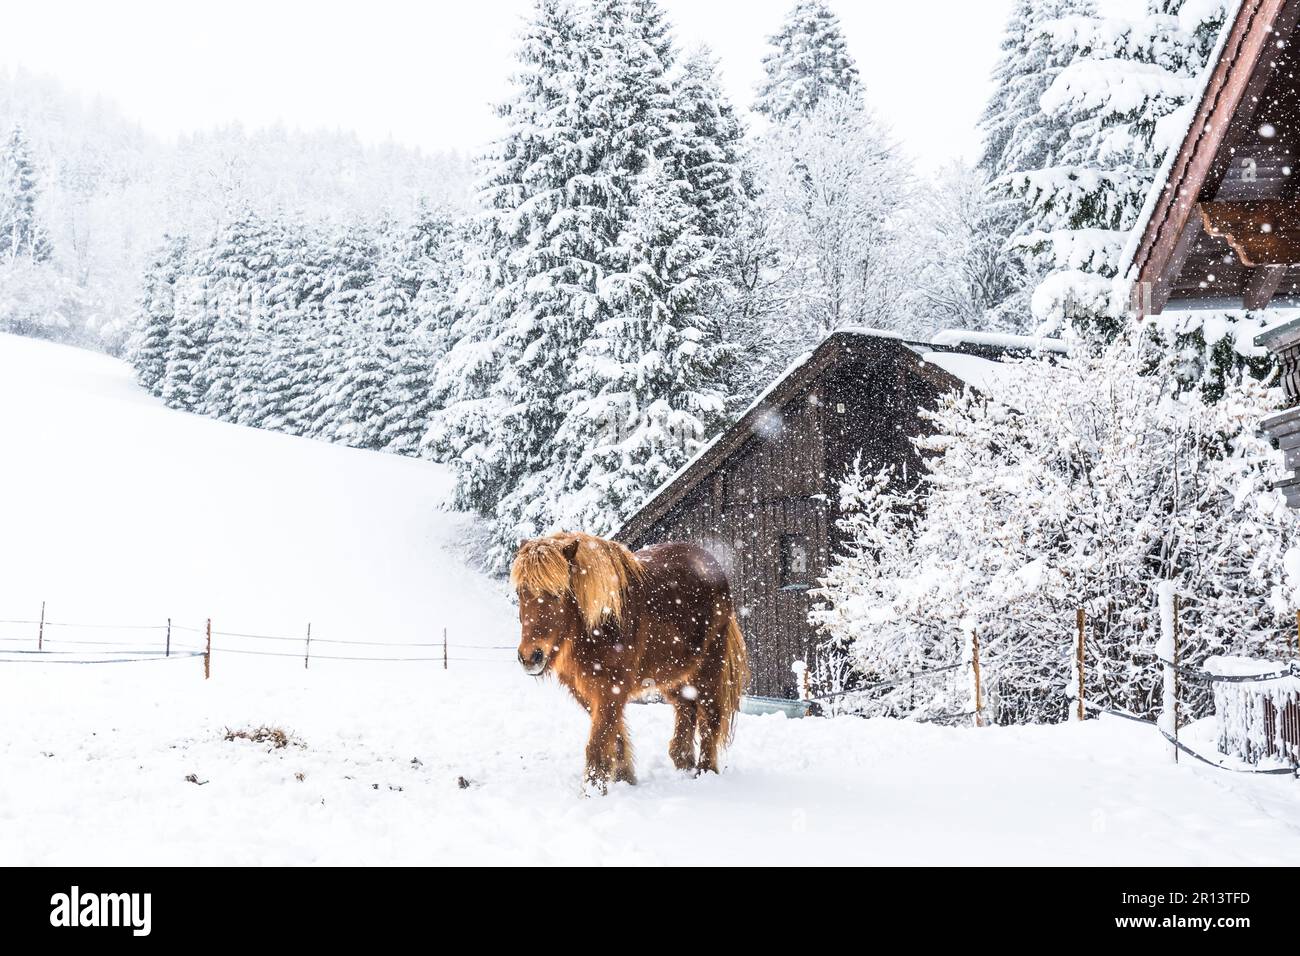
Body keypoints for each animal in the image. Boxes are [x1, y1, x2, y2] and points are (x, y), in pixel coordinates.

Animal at [510, 531, 749, 792]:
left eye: (557, 593)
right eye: (520, 592)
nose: (530, 657)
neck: (600, 623)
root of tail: (712, 563)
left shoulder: (611, 689)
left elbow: (598, 742)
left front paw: (593, 791)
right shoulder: (585, 691)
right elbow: (614, 737)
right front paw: (625, 779)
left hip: (709, 668)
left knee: (710, 715)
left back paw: (705, 772)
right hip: (672, 674)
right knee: (687, 707)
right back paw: (684, 764)